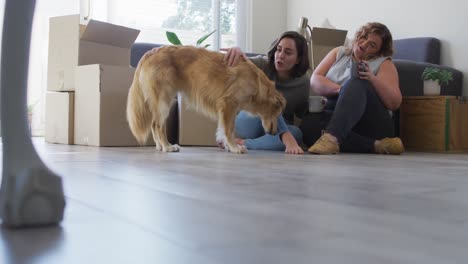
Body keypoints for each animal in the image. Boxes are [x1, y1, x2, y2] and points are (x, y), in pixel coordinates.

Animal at [126, 44, 286, 153]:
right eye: (278, 114)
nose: (274, 133)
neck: (256, 83)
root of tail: (152, 52)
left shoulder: (229, 110)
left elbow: (225, 129)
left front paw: (229, 146)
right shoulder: (228, 104)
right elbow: (229, 130)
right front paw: (235, 147)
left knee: (154, 124)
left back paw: (160, 146)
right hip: (164, 100)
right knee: (158, 125)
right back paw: (167, 146)